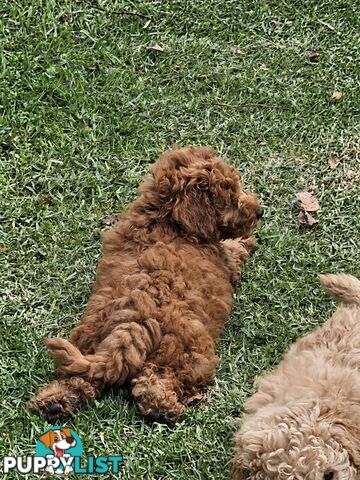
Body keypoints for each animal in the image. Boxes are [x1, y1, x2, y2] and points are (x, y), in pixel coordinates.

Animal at [27, 145, 262, 420]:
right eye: (230, 197)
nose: (260, 211)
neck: (164, 219)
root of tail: (136, 319)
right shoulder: (225, 260)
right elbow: (233, 248)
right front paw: (247, 239)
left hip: (87, 339)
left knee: (81, 376)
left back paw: (54, 401)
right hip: (188, 352)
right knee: (156, 379)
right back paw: (163, 408)